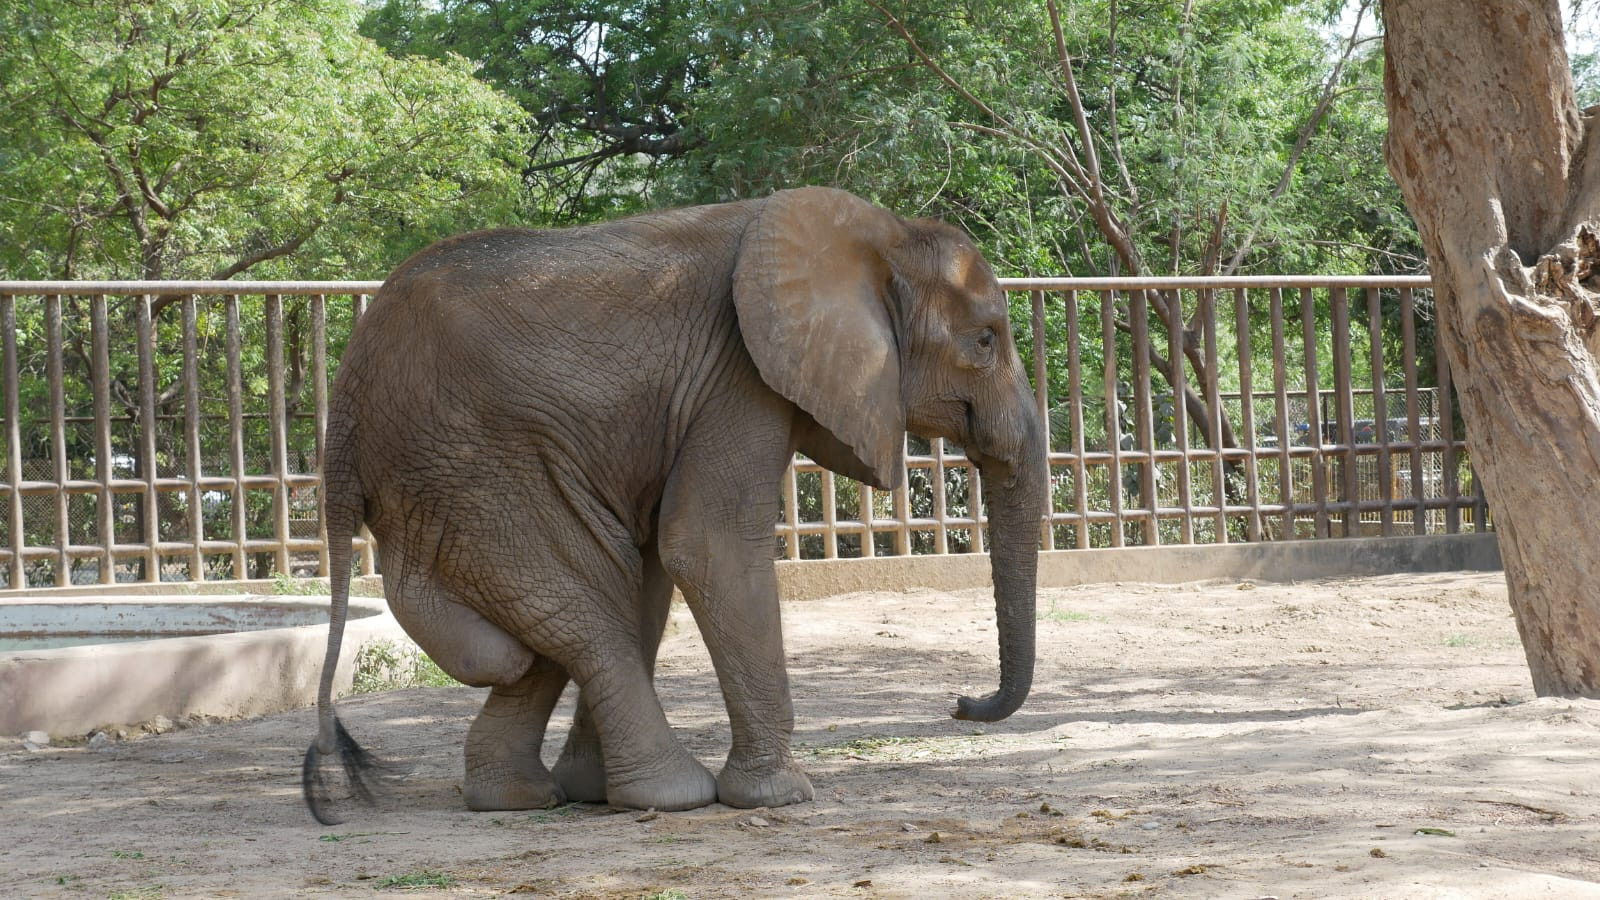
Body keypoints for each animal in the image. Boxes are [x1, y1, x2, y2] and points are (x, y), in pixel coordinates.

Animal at [300, 185, 1049, 826]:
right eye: (986, 340)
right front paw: (782, 797)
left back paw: (543, 795)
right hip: (472, 465)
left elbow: (666, 558)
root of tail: (345, 410)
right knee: (583, 604)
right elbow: (708, 543)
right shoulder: (739, 374)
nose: (960, 704)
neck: (880, 234)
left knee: (580, 603)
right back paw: (667, 795)